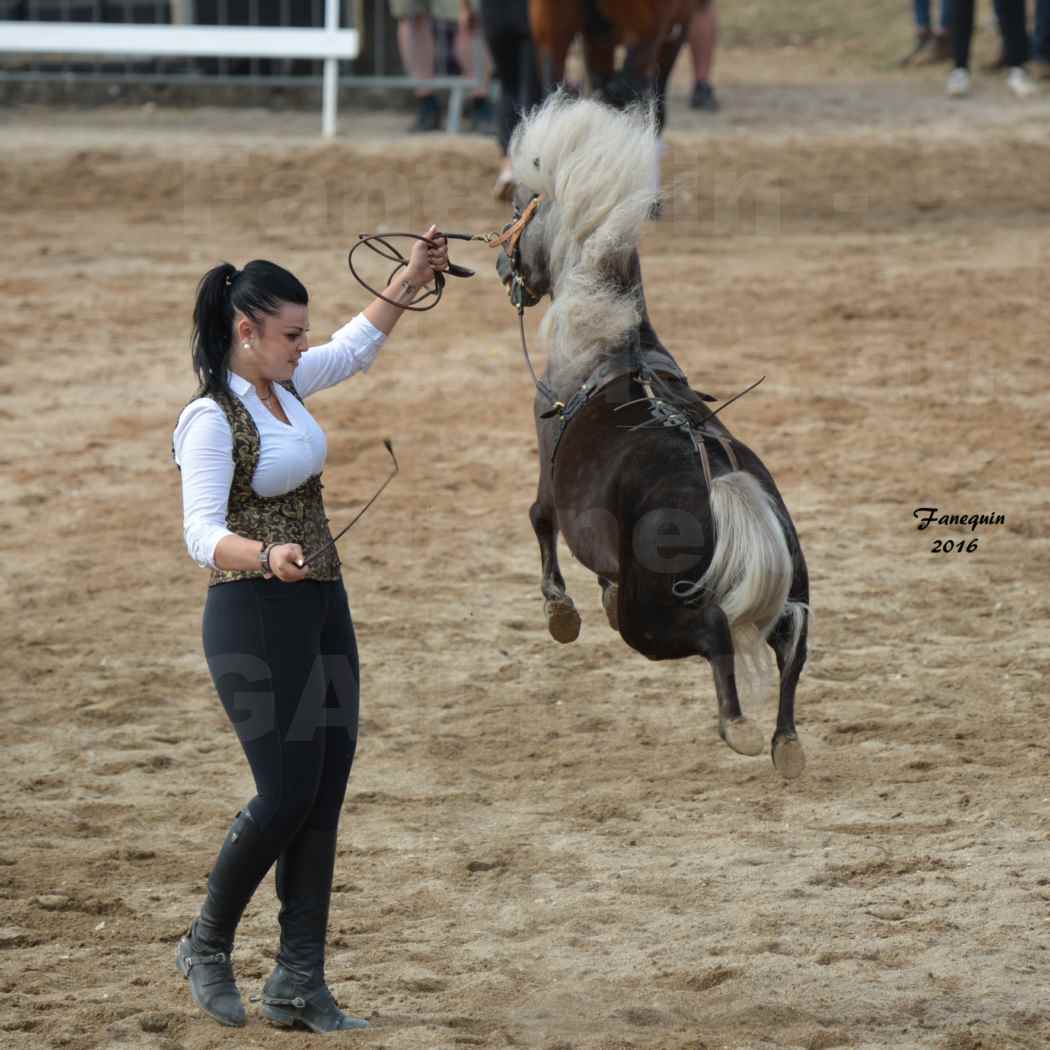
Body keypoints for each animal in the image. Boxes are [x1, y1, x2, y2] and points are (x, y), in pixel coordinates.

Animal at [493, 94, 810, 776]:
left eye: (521, 207)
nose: (504, 265)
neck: (610, 346)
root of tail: (723, 487)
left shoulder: (545, 465)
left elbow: (538, 519)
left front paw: (560, 611)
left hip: (651, 621)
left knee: (715, 634)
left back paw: (738, 728)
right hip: (788, 591)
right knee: (791, 645)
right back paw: (785, 744)